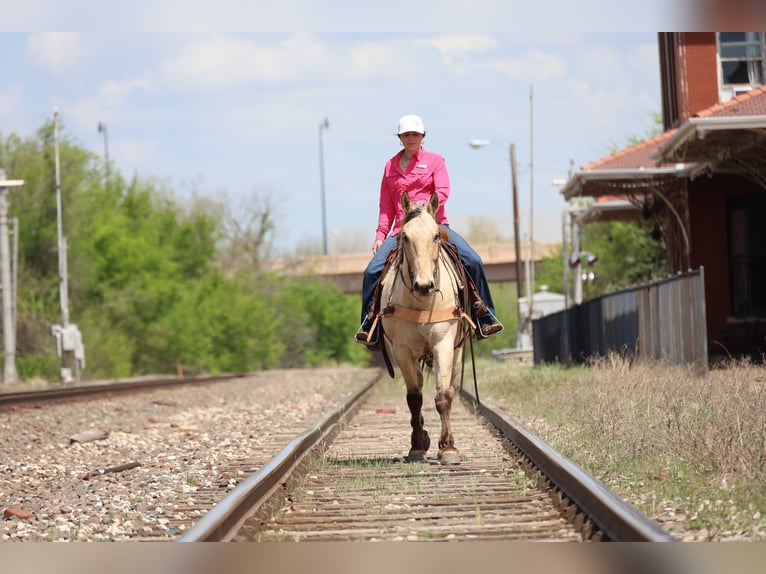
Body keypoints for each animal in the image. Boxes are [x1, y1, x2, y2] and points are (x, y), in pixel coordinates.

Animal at [379, 191, 472, 465]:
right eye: (404, 237)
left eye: (435, 236)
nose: (423, 285)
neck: (420, 302)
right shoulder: (401, 350)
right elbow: (414, 397)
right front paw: (418, 445)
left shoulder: (443, 343)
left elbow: (442, 396)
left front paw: (448, 448)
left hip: (457, 352)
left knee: (449, 387)